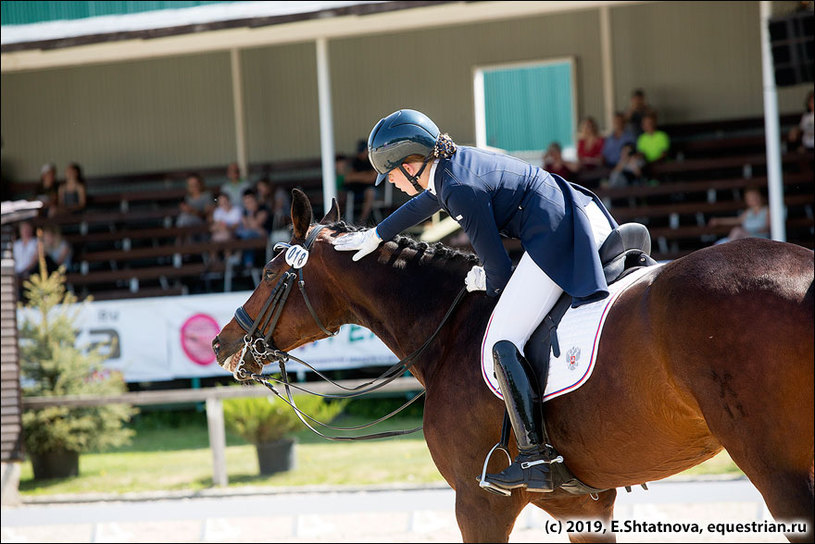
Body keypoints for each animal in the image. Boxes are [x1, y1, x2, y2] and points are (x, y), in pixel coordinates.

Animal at [214, 189, 812, 540]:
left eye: (270, 273)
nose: (222, 345)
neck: (449, 330)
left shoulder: (479, 502)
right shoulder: (584, 505)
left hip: (779, 470)